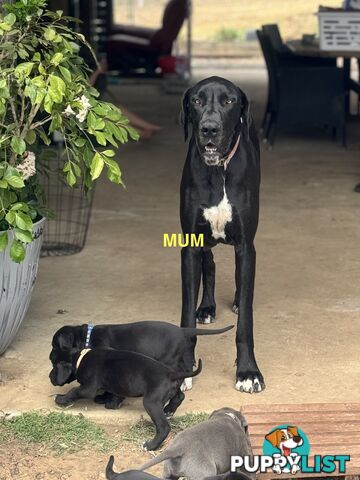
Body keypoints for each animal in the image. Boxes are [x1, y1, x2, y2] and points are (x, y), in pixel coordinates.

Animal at [53, 348, 201, 450]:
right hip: (171, 391)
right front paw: (107, 400)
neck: (80, 358)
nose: (50, 377)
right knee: (180, 396)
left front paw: (61, 399)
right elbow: (114, 392)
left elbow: (74, 391)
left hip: (151, 402)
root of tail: (172, 374)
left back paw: (151, 445)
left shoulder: (88, 388)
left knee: (163, 427)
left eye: (54, 365)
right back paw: (169, 410)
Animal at [180, 76, 264, 394]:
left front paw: (248, 371)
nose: (209, 128)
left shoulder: (246, 246)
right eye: (196, 100)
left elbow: (246, 325)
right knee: (211, 263)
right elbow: (186, 312)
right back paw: (207, 307)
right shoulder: (190, 246)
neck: (218, 172)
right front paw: (183, 368)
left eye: (229, 101)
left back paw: (239, 300)